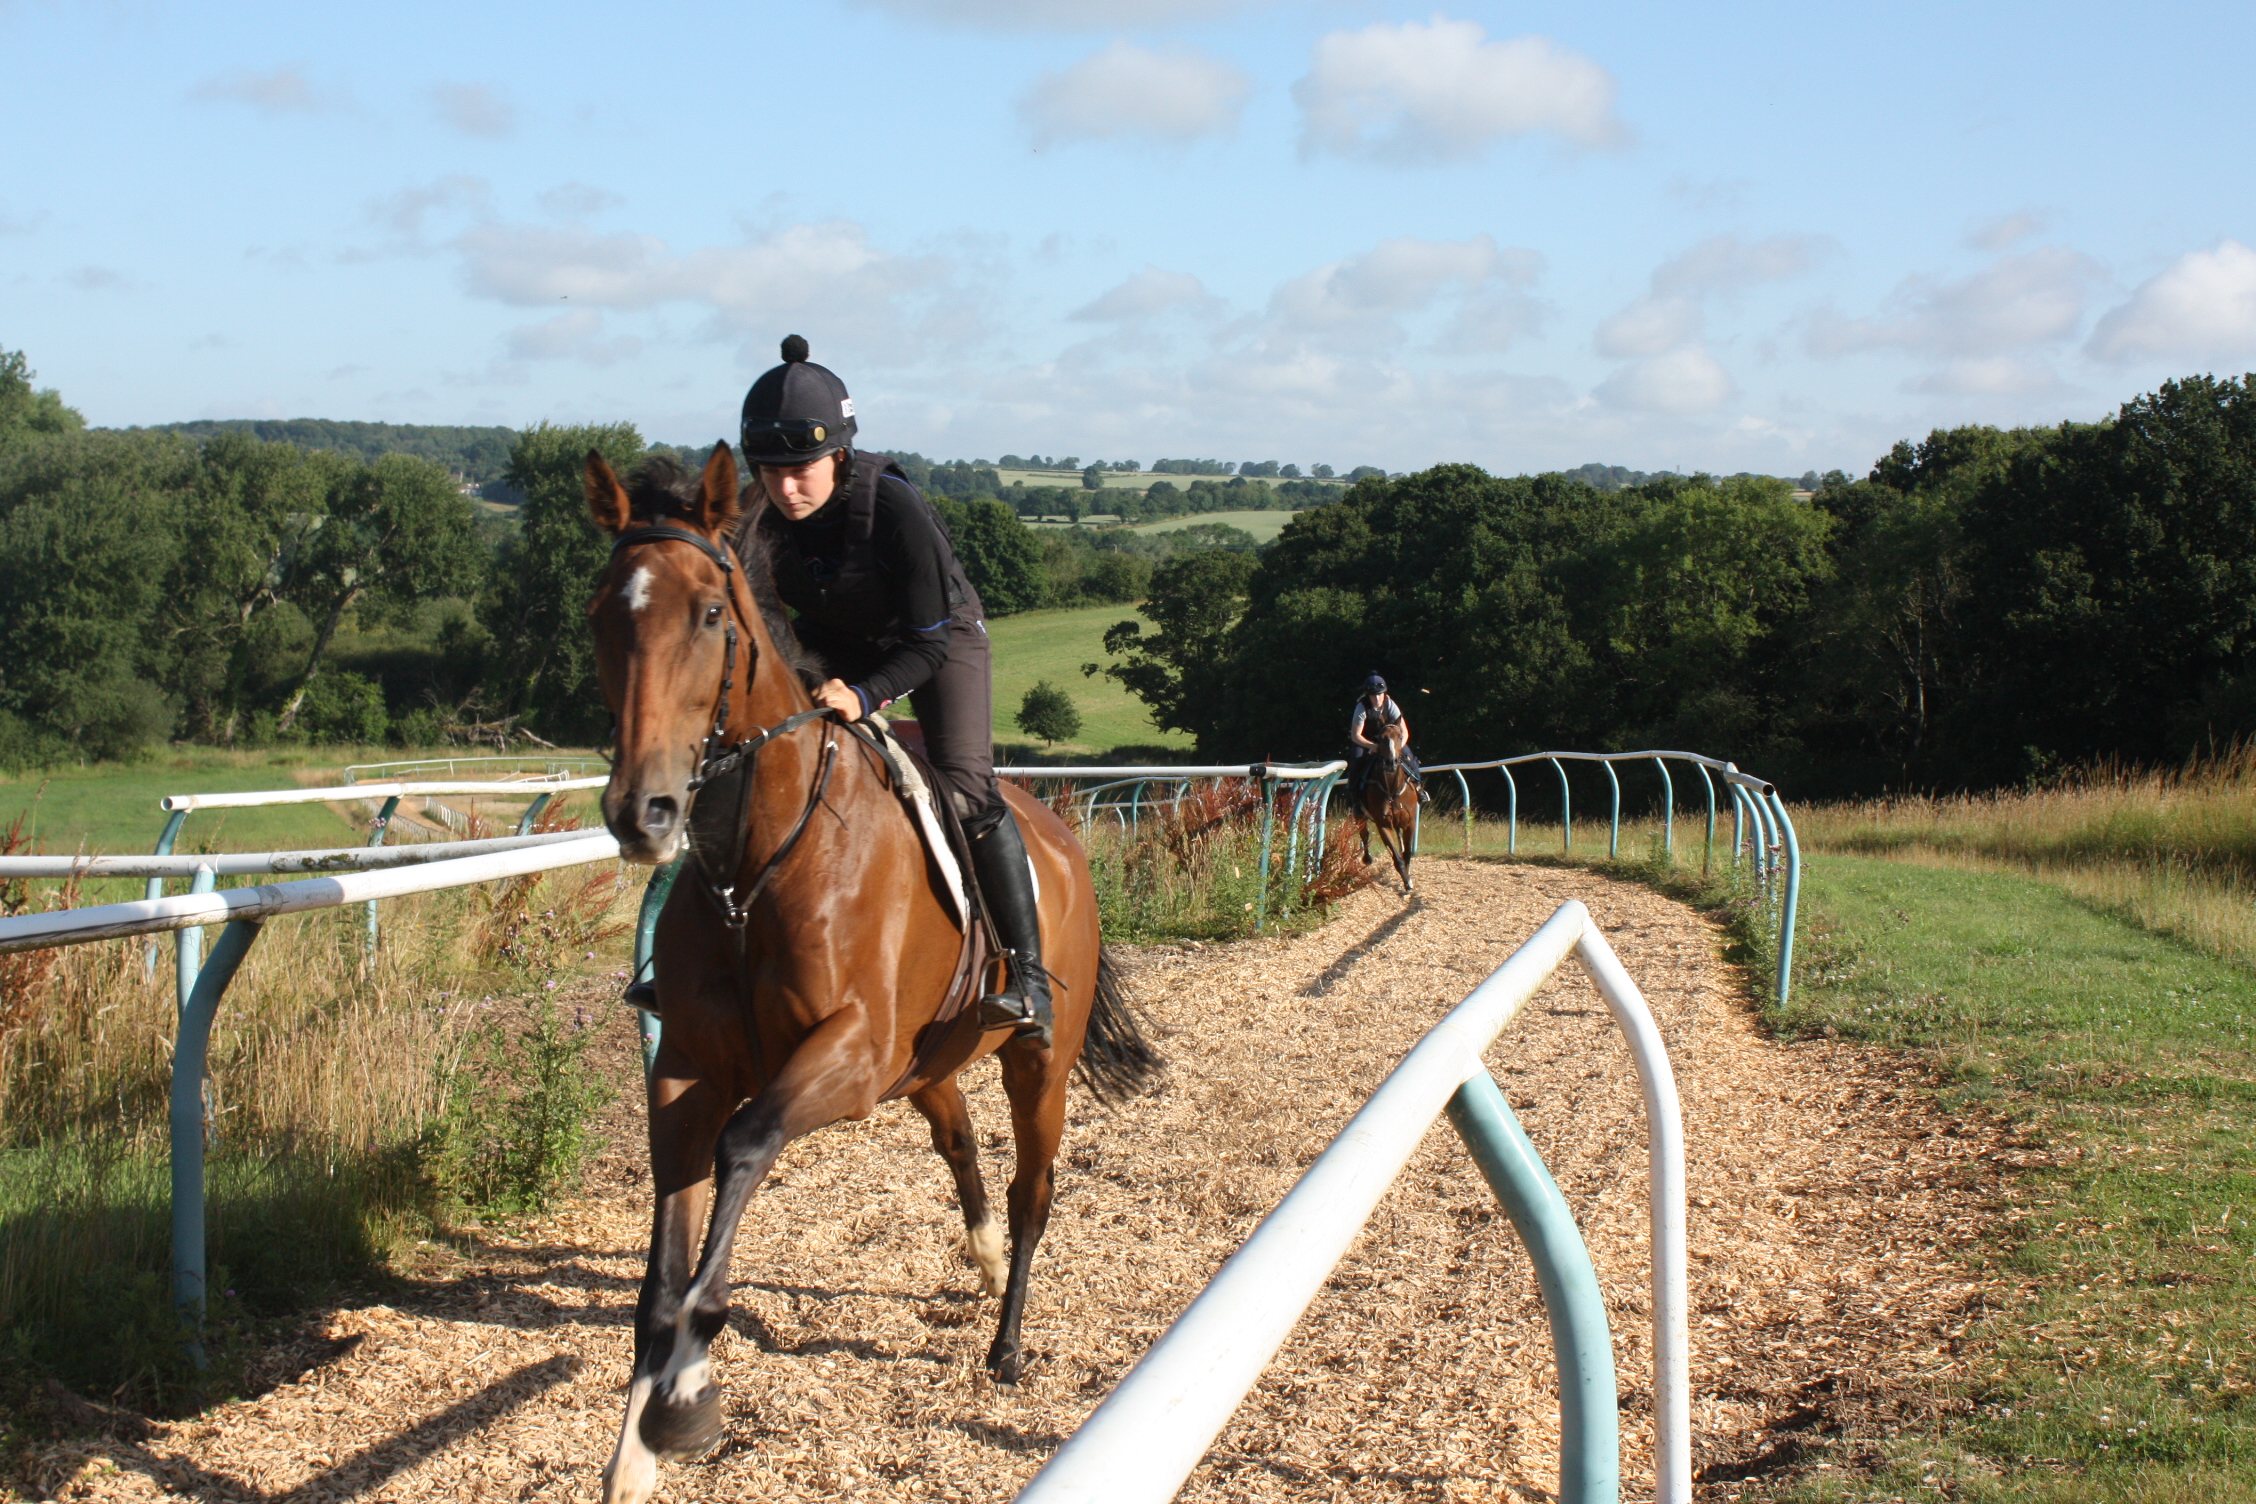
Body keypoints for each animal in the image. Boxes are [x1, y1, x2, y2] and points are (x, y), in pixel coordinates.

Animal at [582, 446, 1164, 1504]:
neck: (753, 866)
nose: (641, 813)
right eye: (605, 613)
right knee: (960, 1137)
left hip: (1033, 1061)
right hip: (926, 1060)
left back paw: (1006, 1342)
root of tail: (1058, 836)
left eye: (711, 614)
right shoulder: (688, 1068)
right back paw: (981, 1258)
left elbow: (744, 1147)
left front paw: (687, 1394)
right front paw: (635, 1450)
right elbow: (661, 1269)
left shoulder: (844, 1056)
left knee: (1033, 1187)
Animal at [1344, 739, 1416, 892]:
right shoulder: (1382, 824)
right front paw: (1406, 882)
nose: (1391, 762)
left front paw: (1409, 880)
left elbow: (1406, 853)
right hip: (1360, 816)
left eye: (1399, 738)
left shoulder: (1410, 821)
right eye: (1381, 739)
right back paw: (1367, 858)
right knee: (1364, 835)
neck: (1391, 790)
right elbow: (1396, 857)